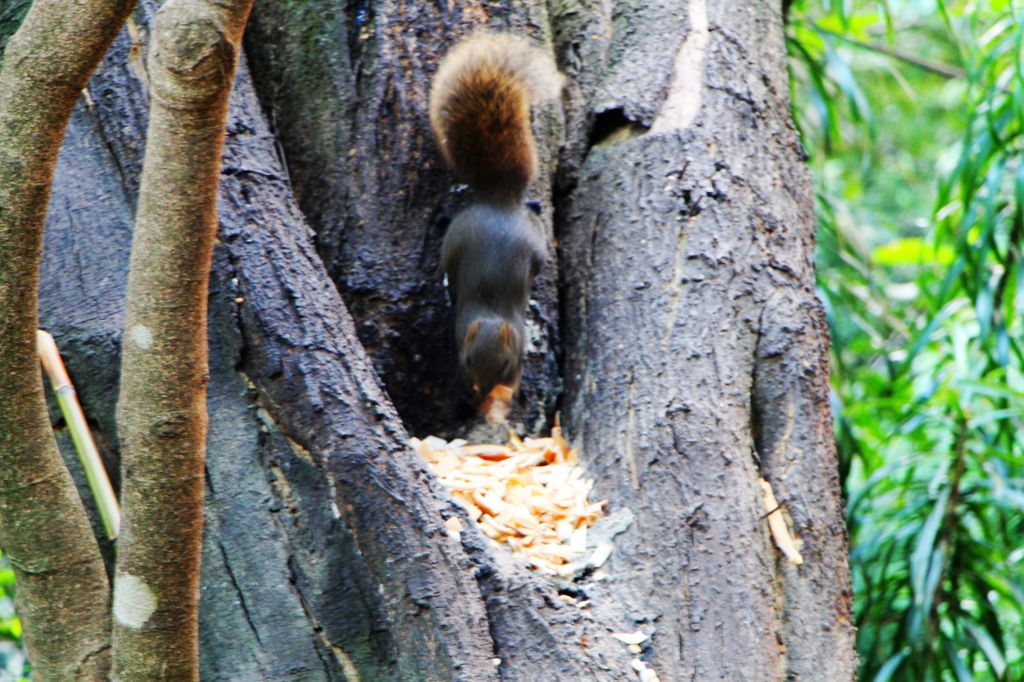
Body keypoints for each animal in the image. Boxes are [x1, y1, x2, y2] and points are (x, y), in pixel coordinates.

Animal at [430, 34, 565, 421]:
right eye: (468, 358)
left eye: (503, 363)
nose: (482, 390)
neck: (489, 315)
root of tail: (498, 199)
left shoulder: (517, 355)